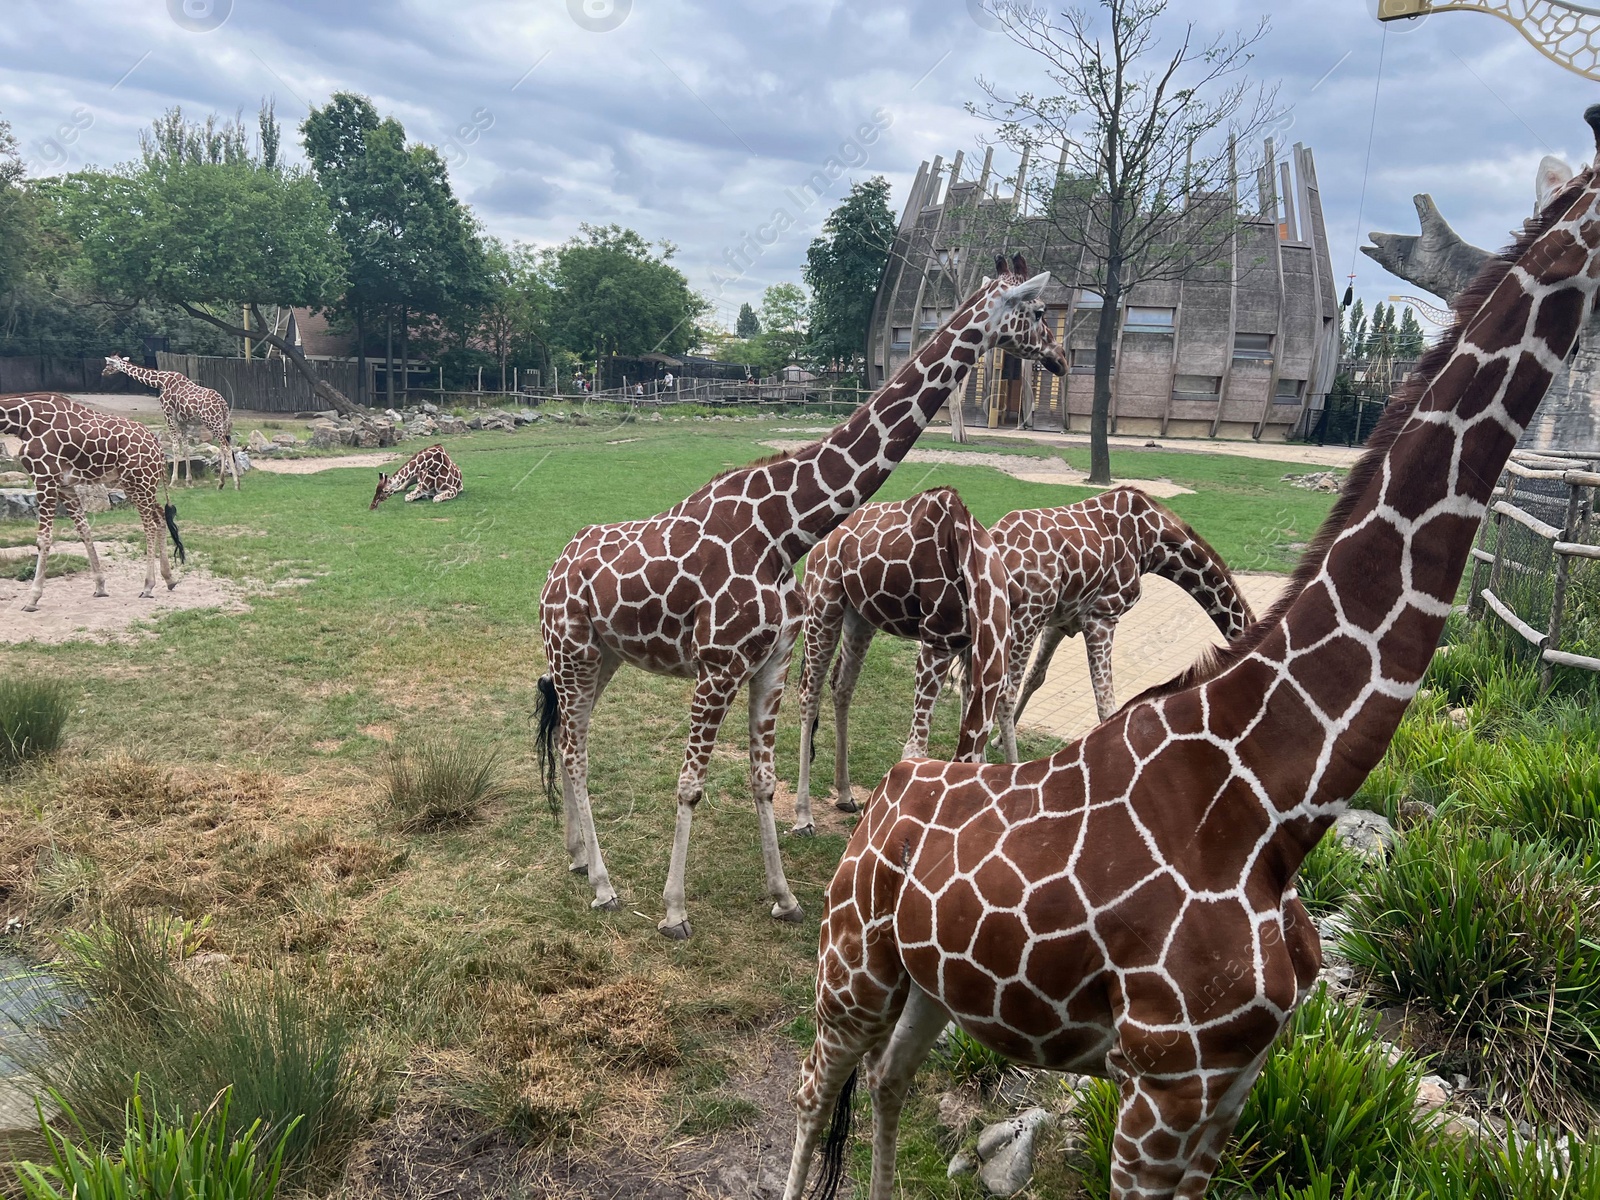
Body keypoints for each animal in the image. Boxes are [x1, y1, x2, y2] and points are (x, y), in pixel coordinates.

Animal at [0, 395, 185, 614]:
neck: (22, 422)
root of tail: (157, 446)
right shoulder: (64, 485)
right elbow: (84, 529)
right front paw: (100, 586)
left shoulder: (44, 478)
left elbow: (43, 539)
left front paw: (32, 598)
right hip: (138, 483)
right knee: (159, 516)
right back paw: (169, 578)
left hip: (139, 480)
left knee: (150, 524)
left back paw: (148, 585)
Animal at [103, 355, 238, 489]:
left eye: (109, 363)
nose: (103, 372)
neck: (161, 381)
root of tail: (223, 404)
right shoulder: (183, 422)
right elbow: (186, 447)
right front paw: (189, 481)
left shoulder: (168, 415)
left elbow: (175, 447)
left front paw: (173, 481)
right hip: (222, 423)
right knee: (222, 447)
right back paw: (220, 483)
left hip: (212, 422)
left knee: (226, 447)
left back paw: (236, 484)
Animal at [790, 489, 1011, 838]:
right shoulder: (937, 642)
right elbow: (915, 750)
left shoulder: (971, 648)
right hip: (823, 600)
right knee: (808, 693)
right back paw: (804, 817)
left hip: (860, 615)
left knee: (842, 685)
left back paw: (845, 794)